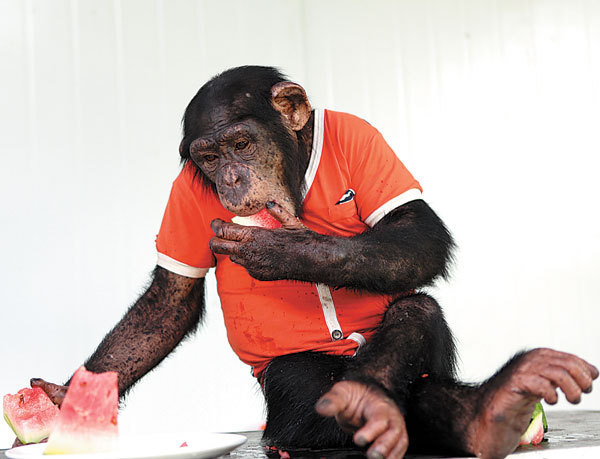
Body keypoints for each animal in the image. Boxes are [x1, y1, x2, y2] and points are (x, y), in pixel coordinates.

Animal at [30, 65, 596, 459]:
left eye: (241, 144)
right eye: (209, 158)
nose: (230, 179)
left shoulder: (365, 136)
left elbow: (416, 228)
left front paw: (286, 251)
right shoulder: (183, 197)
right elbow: (171, 299)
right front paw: (66, 398)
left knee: (417, 314)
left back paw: (467, 408)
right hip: (285, 392)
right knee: (301, 394)